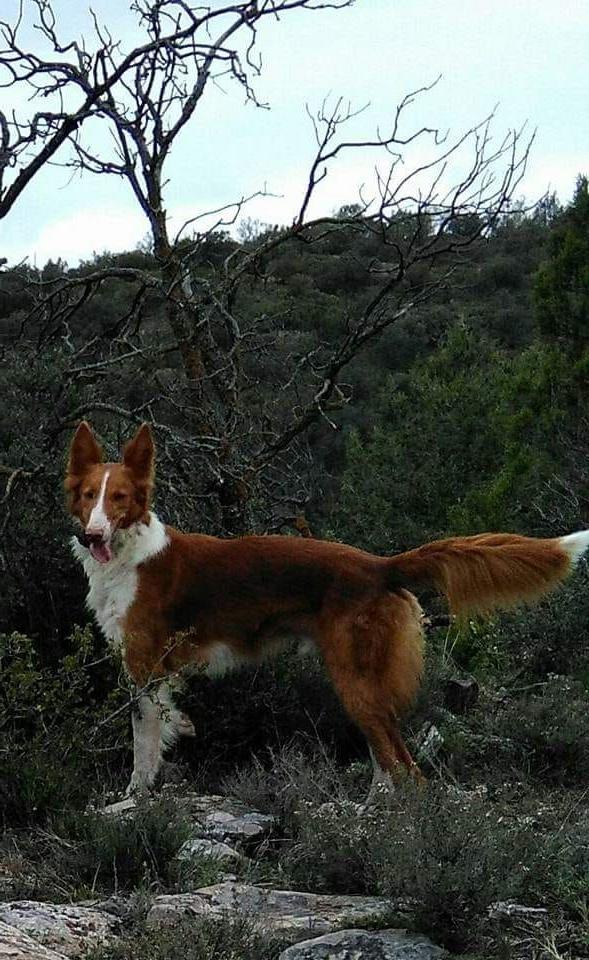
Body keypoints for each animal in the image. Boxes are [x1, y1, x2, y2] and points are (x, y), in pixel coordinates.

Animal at [65, 422, 588, 796]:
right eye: (90, 496)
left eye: (120, 498)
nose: (91, 535)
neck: (130, 555)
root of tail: (380, 565)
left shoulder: (144, 666)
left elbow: (144, 741)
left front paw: (133, 801)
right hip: (361, 682)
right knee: (387, 761)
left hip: (353, 677)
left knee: (407, 769)